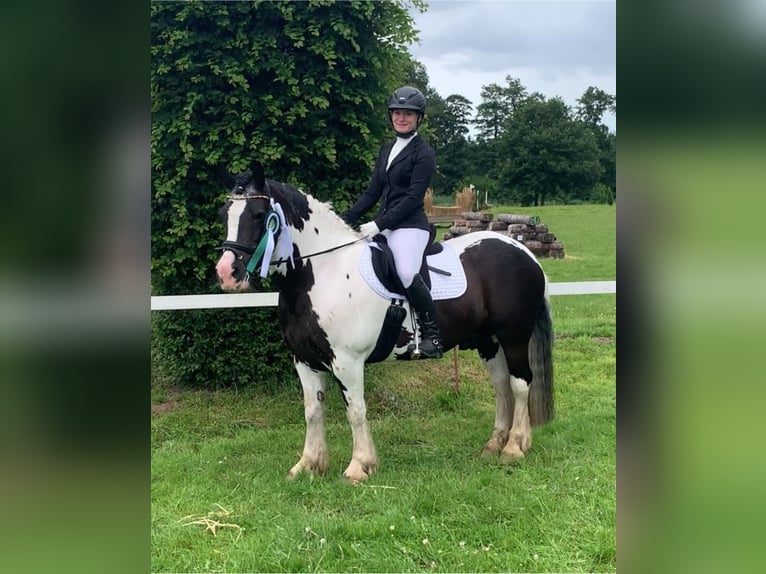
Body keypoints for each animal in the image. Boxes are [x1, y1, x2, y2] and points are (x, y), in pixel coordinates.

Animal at [213, 163, 556, 486]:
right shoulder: (305, 361)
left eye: (260, 215)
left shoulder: (347, 362)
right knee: (501, 386)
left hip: (513, 336)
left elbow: (355, 410)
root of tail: (524, 252)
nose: (227, 274)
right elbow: (313, 411)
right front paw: (308, 465)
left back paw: (514, 448)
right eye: (224, 214)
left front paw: (359, 467)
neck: (323, 272)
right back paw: (494, 445)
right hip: (488, 341)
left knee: (520, 383)